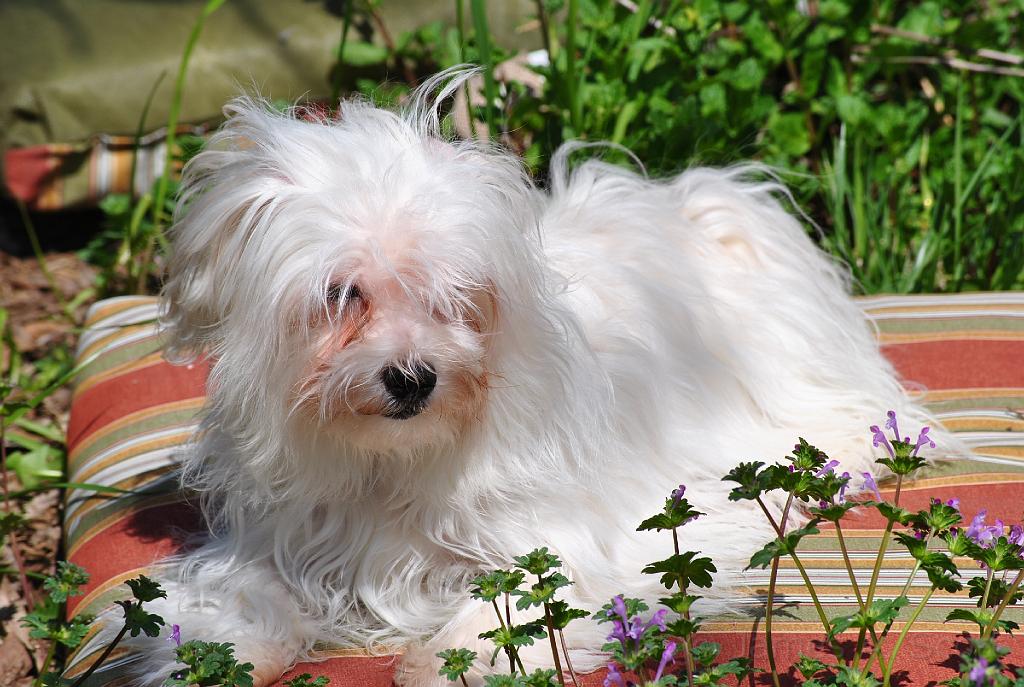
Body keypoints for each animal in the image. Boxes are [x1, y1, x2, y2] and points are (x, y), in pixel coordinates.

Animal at [128, 75, 937, 687]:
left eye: (449, 293)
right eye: (342, 293)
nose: (413, 378)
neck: (389, 461)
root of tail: (703, 210)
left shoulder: (567, 537)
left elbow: (517, 604)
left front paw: (440, 664)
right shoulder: (281, 537)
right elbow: (243, 599)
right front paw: (218, 653)